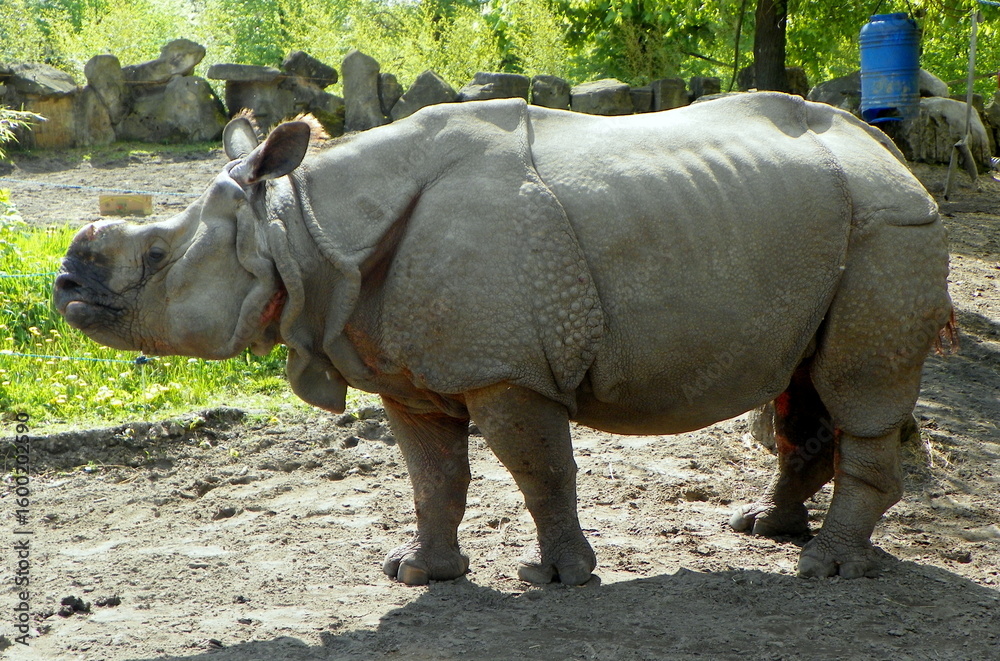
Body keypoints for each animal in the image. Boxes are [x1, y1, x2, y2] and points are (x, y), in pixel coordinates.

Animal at [54, 93, 952, 586]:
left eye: (156, 258)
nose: (62, 287)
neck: (302, 230)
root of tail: (889, 150)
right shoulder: (403, 367)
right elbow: (433, 477)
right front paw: (419, 573)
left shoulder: (505, 368)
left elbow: (538, 468)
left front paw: (555, 578)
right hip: (828, 224)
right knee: (803, 384)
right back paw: (765, 529)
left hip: (888, 227)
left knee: (857, 388)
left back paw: (826, 568)